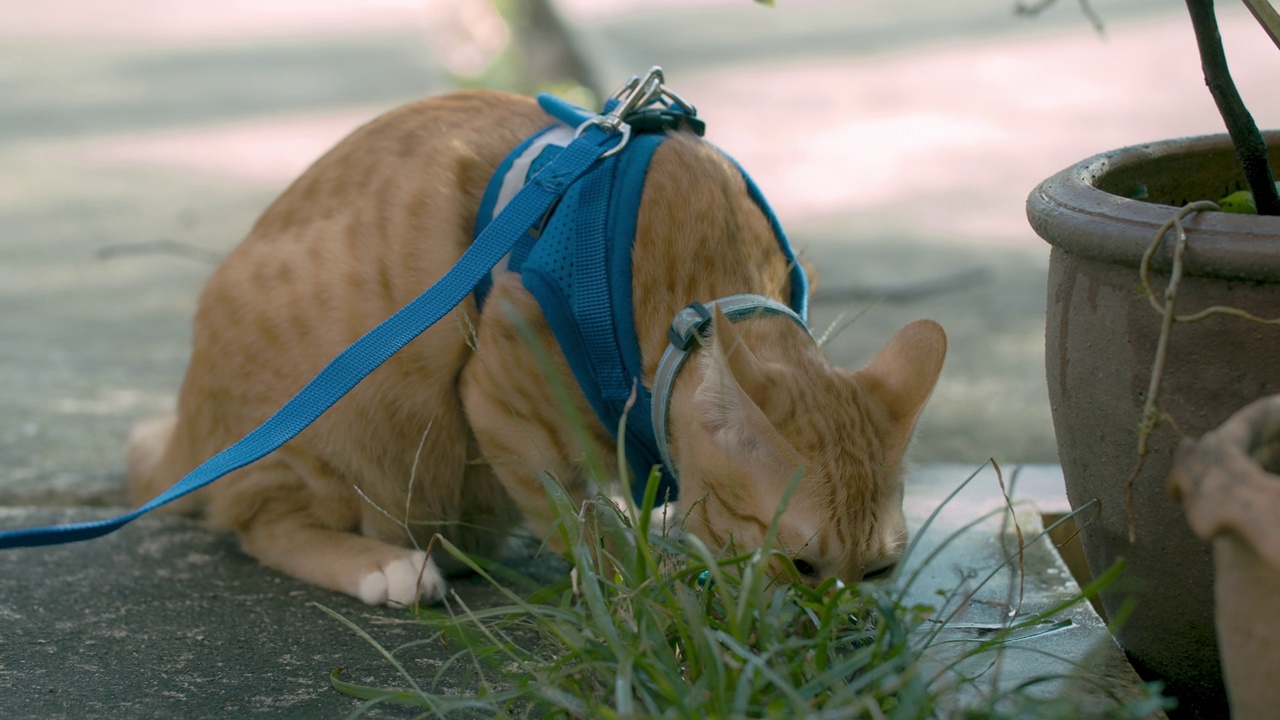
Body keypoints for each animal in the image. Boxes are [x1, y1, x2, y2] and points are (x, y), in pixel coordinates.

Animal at [127, 89, 952, 604]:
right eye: (803, 564)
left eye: (879, 572)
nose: (836, 629)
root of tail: (187, 428)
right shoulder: (503, 404)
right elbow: (580, 521)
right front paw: (639, 597)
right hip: (351, 424)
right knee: (259, 520)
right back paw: (389, 568)